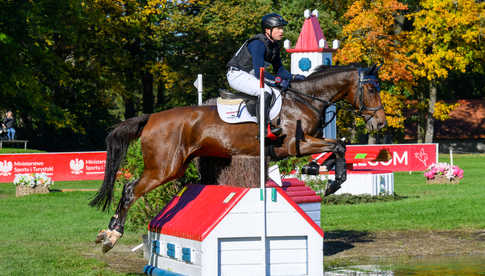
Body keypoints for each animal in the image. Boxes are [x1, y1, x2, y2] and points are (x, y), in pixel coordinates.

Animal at [90, 64, 386, 252]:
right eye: (371, 90)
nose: (381, 123)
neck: (304, 100)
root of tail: (151, 118)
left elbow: (339, 146)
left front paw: (323, 173)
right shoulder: (295, 145)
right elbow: (338, 146)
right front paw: (331, 180)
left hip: (174, 168)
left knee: (133, 189)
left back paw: (110, 232)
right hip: (164, 168)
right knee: (130, 190)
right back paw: (111, 236)